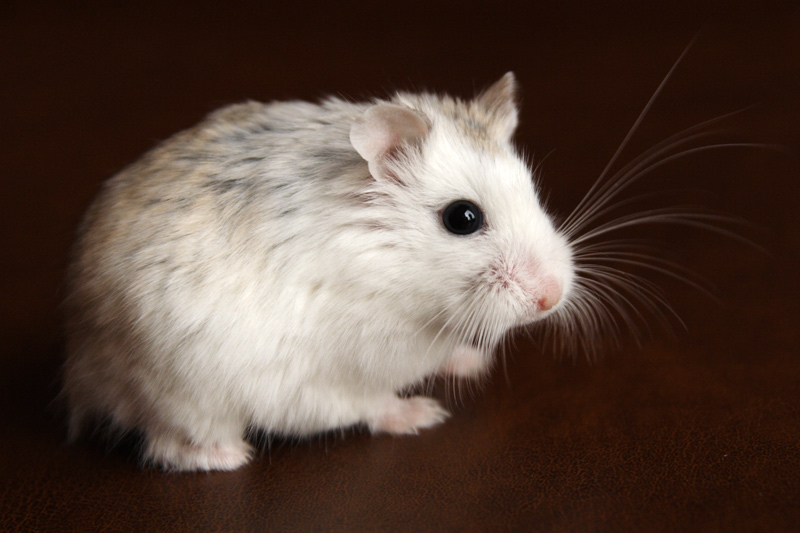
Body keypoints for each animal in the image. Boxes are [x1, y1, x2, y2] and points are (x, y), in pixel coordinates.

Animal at [62, 73, 573, 471]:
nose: (551, 297)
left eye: (531, 191)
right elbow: (370, 402)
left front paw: (473, 361)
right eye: (462, 218)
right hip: (183, 395)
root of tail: (85, 358)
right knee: (167, 444)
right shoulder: (327, 377)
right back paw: (231, 456)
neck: (399, 280)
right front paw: (425, 414)